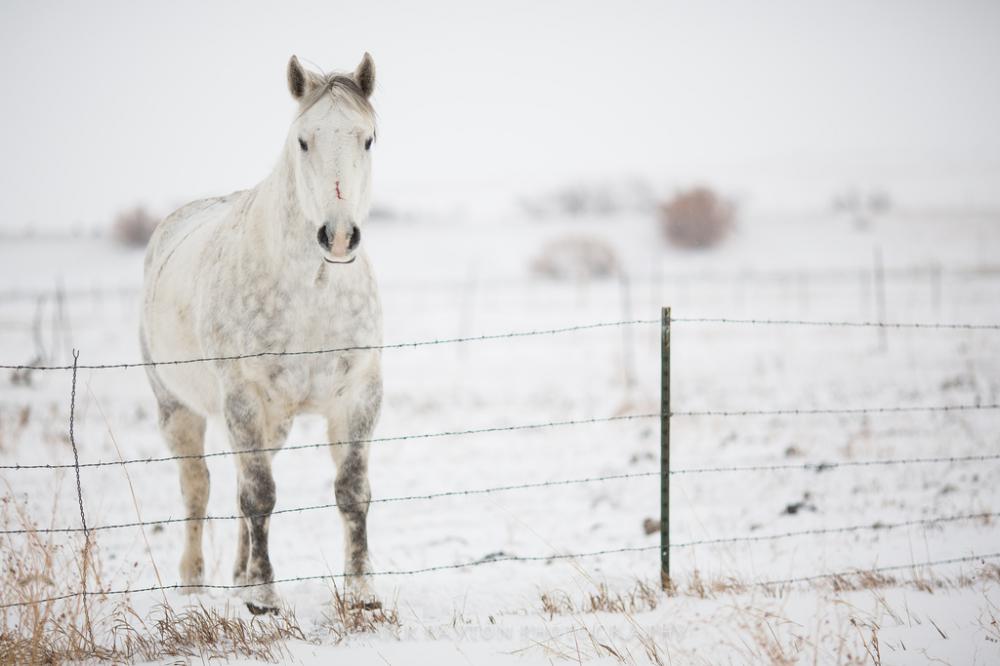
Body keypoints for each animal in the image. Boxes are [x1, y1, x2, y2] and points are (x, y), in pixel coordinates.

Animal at [137, 55, 378, 612]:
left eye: (368, 139)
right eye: (303, 141)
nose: (338, 237)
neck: (312, 292)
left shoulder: (357, 396)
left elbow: (351, 491)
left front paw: (362, 592)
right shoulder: (243, 399)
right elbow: (259, 495)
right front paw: (265, 598)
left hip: (274, 422)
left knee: (240, 481)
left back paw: (239, 575)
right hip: (178, 409)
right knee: (199, 487)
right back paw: (194, 584)